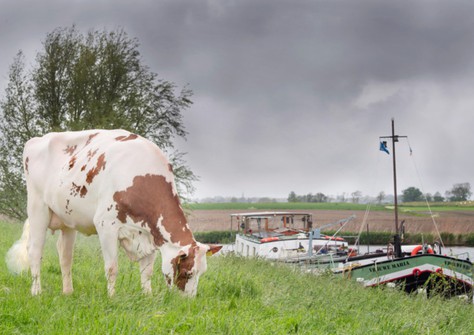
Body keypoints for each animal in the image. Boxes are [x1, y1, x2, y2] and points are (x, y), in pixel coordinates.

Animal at [5, 129, 220, 296]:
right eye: (186, 273)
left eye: (201, 273)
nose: (187, 301)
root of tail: (37, 139)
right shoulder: (106, 225)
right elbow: (112, 267)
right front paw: (112, 297)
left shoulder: (149, 234)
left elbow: (147, 271)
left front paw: (148, 296)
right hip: (37, 208)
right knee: (35, 250)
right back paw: (36, 291)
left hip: (67, 218)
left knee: (65, 255)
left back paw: (68, 292)